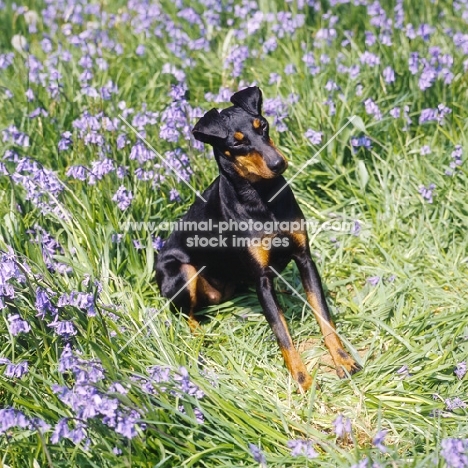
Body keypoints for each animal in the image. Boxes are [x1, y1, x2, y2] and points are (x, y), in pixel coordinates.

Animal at [155, 85, 360, 392]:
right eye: (237, 143)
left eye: (262, 126)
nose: (278, 163)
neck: (262, 197)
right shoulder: (261, 279)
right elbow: (282, 333)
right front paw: (302, 380)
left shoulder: (304, 259)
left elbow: (324, 316)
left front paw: (343, 360)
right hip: (182, 272)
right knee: (185, 315)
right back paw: (200, 337)